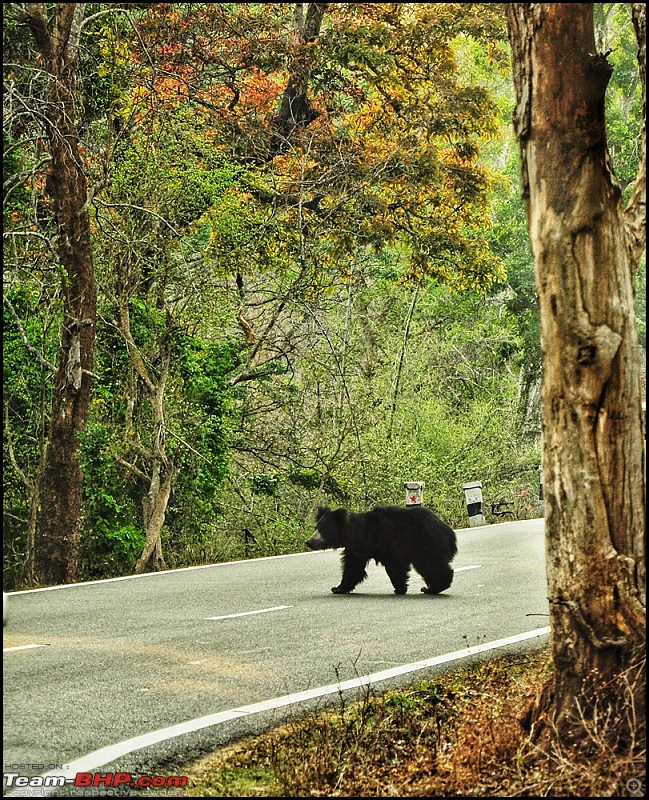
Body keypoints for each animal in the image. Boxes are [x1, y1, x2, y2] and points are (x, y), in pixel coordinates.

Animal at [304, 506, 456, 592]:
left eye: (322, 529)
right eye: (316, 527)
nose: (309, 541)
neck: (359, 534)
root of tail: (449, 532)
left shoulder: (388, 541)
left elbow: (395, 566)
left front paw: (400, 588)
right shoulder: (356, 549)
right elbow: (352, 568)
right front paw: (338, 588)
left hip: (426, 543)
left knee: (431, 565)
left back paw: (433, 588)